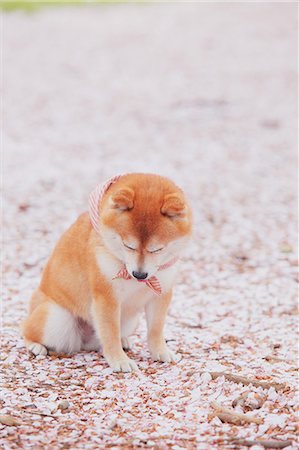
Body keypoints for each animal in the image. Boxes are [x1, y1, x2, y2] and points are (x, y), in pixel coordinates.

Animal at [22, 172, 193, 372]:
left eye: (157, 249)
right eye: (128, 246)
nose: (140, 275)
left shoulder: (161, 294)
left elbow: (155, 330)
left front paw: (160, 351)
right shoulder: (107, 298)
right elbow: (110, 332)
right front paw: (119, 360)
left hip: (130, 321)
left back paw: (124, 340)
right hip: (57, 319)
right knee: (26, 329)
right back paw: (35, 346)